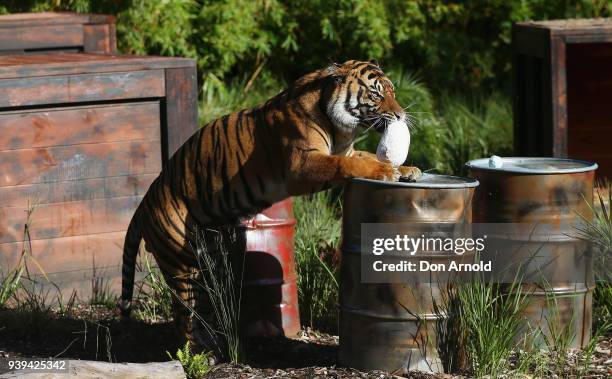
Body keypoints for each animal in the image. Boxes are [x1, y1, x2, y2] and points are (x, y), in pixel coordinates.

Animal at [122, 58, 424, 360]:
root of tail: (144, 203)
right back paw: (199, 355)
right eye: (376, 95)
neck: (342, 129)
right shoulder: (304, 164)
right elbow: (352, 165)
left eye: (393, 92)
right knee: (183, 317)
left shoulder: (345, 151)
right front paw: (386, 171)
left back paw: (217, 346)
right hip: (180, 266)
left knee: (205, 306)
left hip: (207, 261)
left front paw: (407, 169)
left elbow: (366, 157)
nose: (400, 116)